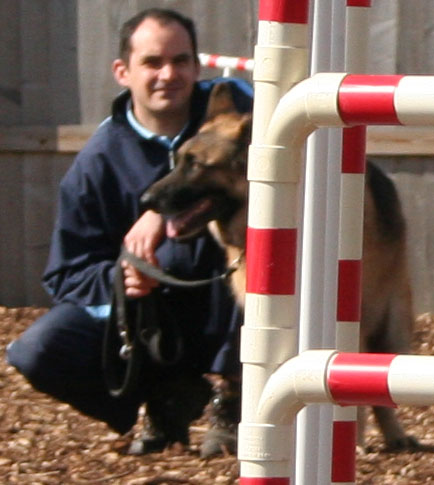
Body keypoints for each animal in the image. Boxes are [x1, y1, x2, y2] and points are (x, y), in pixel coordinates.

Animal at [140, 82, 418, 450]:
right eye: (178, 160)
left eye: (196, 164)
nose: (146, 201)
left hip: (391, 316)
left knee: (378, 376)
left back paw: (389, 435)